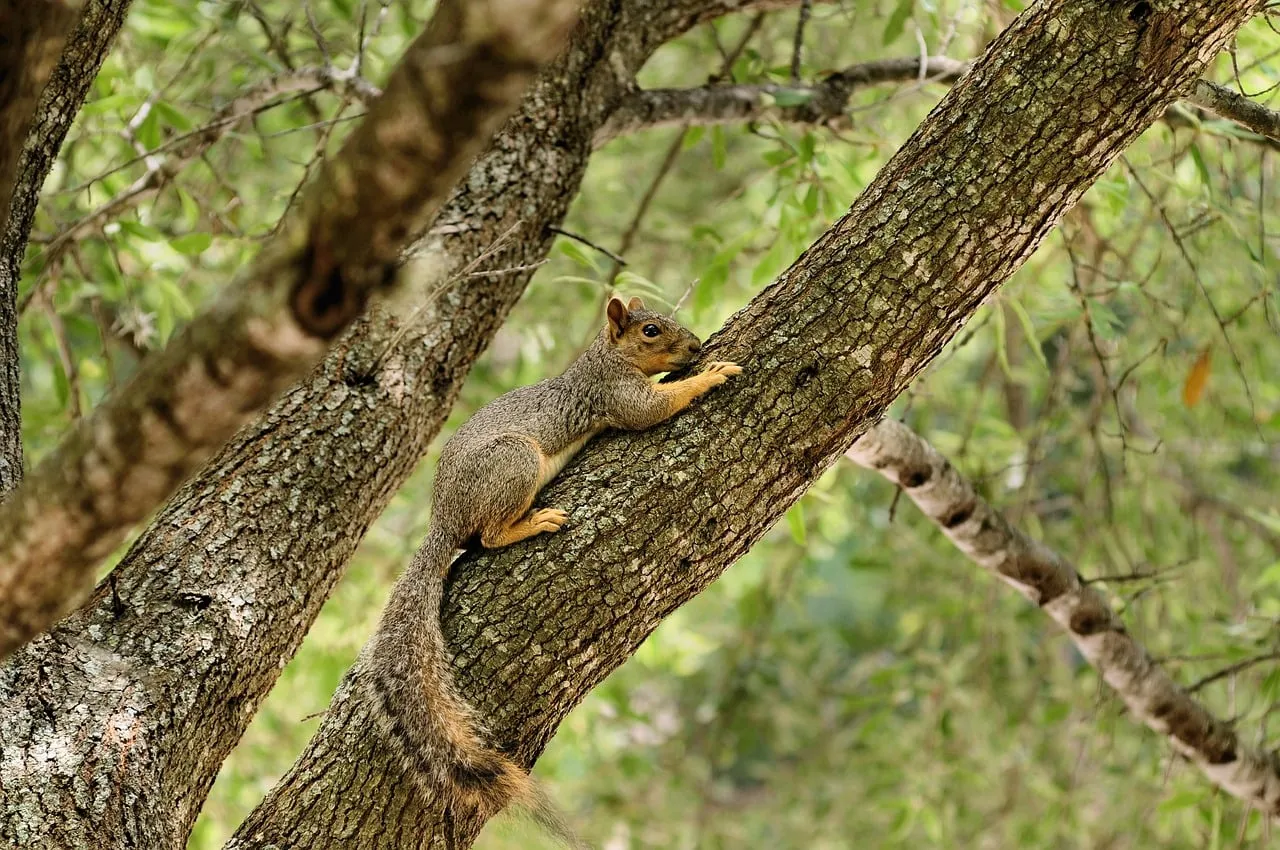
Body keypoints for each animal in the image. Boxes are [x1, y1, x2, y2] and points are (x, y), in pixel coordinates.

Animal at [364, 295, 742, 838]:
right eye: (650, 330)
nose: (694, 347)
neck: (605, 356)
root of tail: (444, 520)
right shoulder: (614, 392)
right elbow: (652, 409)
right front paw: (711, 374)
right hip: (514, 462)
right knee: (489, 535)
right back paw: (534, 522)